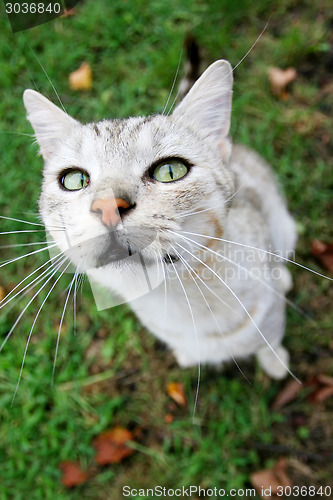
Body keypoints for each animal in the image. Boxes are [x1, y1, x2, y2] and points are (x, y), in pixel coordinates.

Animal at [22, 58, 296, 378]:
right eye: (75, 180)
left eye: (170, 170)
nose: (107, 206)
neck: (178, 299)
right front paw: (188, 356)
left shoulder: (270, 314)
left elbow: (270, 341)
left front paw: (276, 363)